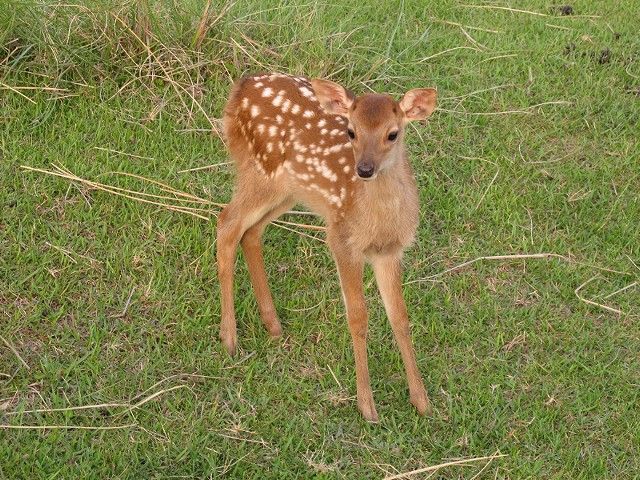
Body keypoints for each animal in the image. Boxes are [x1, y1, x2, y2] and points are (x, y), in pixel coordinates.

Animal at [217, 72, 437, 422]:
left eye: (393, 133)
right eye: (351, 131)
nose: (364, 169)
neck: (377, 220)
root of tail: (242, 87)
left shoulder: (389, 251)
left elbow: (400, 317)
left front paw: (421, 400)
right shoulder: (342, 239)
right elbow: (358, 317)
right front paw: (367, 406)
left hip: (289, 190)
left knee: (251, 232)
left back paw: (272, 324)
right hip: (260, 172)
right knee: (226, 225)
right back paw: (229, 338)